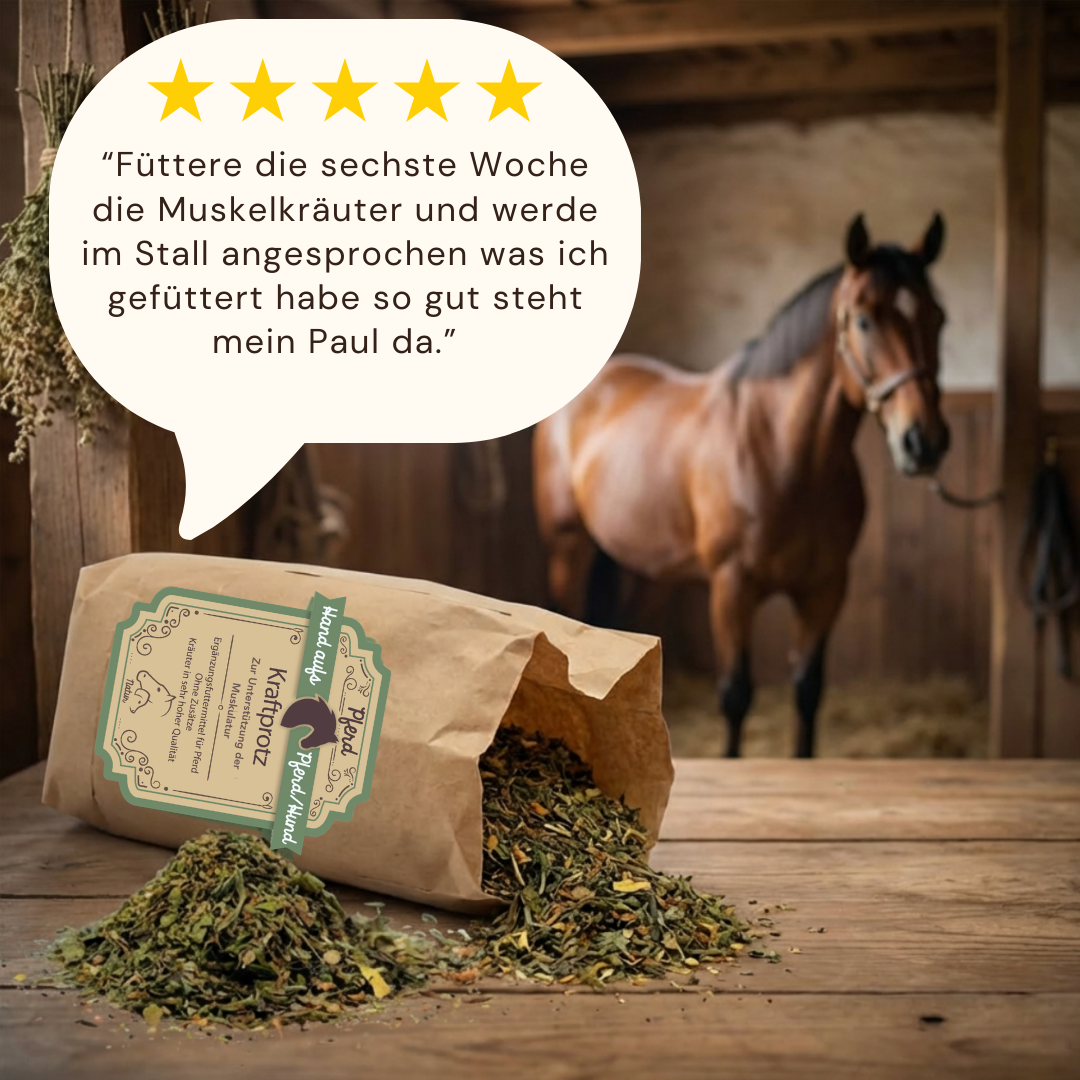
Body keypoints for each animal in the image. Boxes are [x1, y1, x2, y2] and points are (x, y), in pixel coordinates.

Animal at [533, 214, 951, 757]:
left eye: (938, 318)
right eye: (863, 320)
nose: (924, 442)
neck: (785, 456)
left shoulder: (825, 588)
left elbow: (808, 690)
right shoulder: (732, 588)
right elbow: (735, 694)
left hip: (654, 570)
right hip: (568, 548)